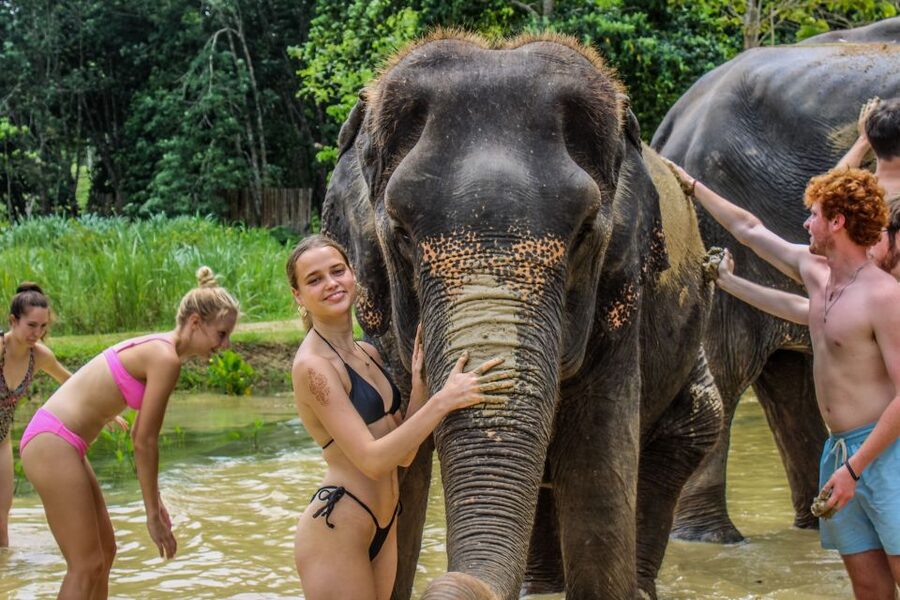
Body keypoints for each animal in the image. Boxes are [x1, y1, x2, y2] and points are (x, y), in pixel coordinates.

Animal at [322, 33, 723, 600]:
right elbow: (397, 465)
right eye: (399, 232)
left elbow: (598, 464)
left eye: (583, 232)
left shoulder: (622, 299)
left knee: (687, 434)